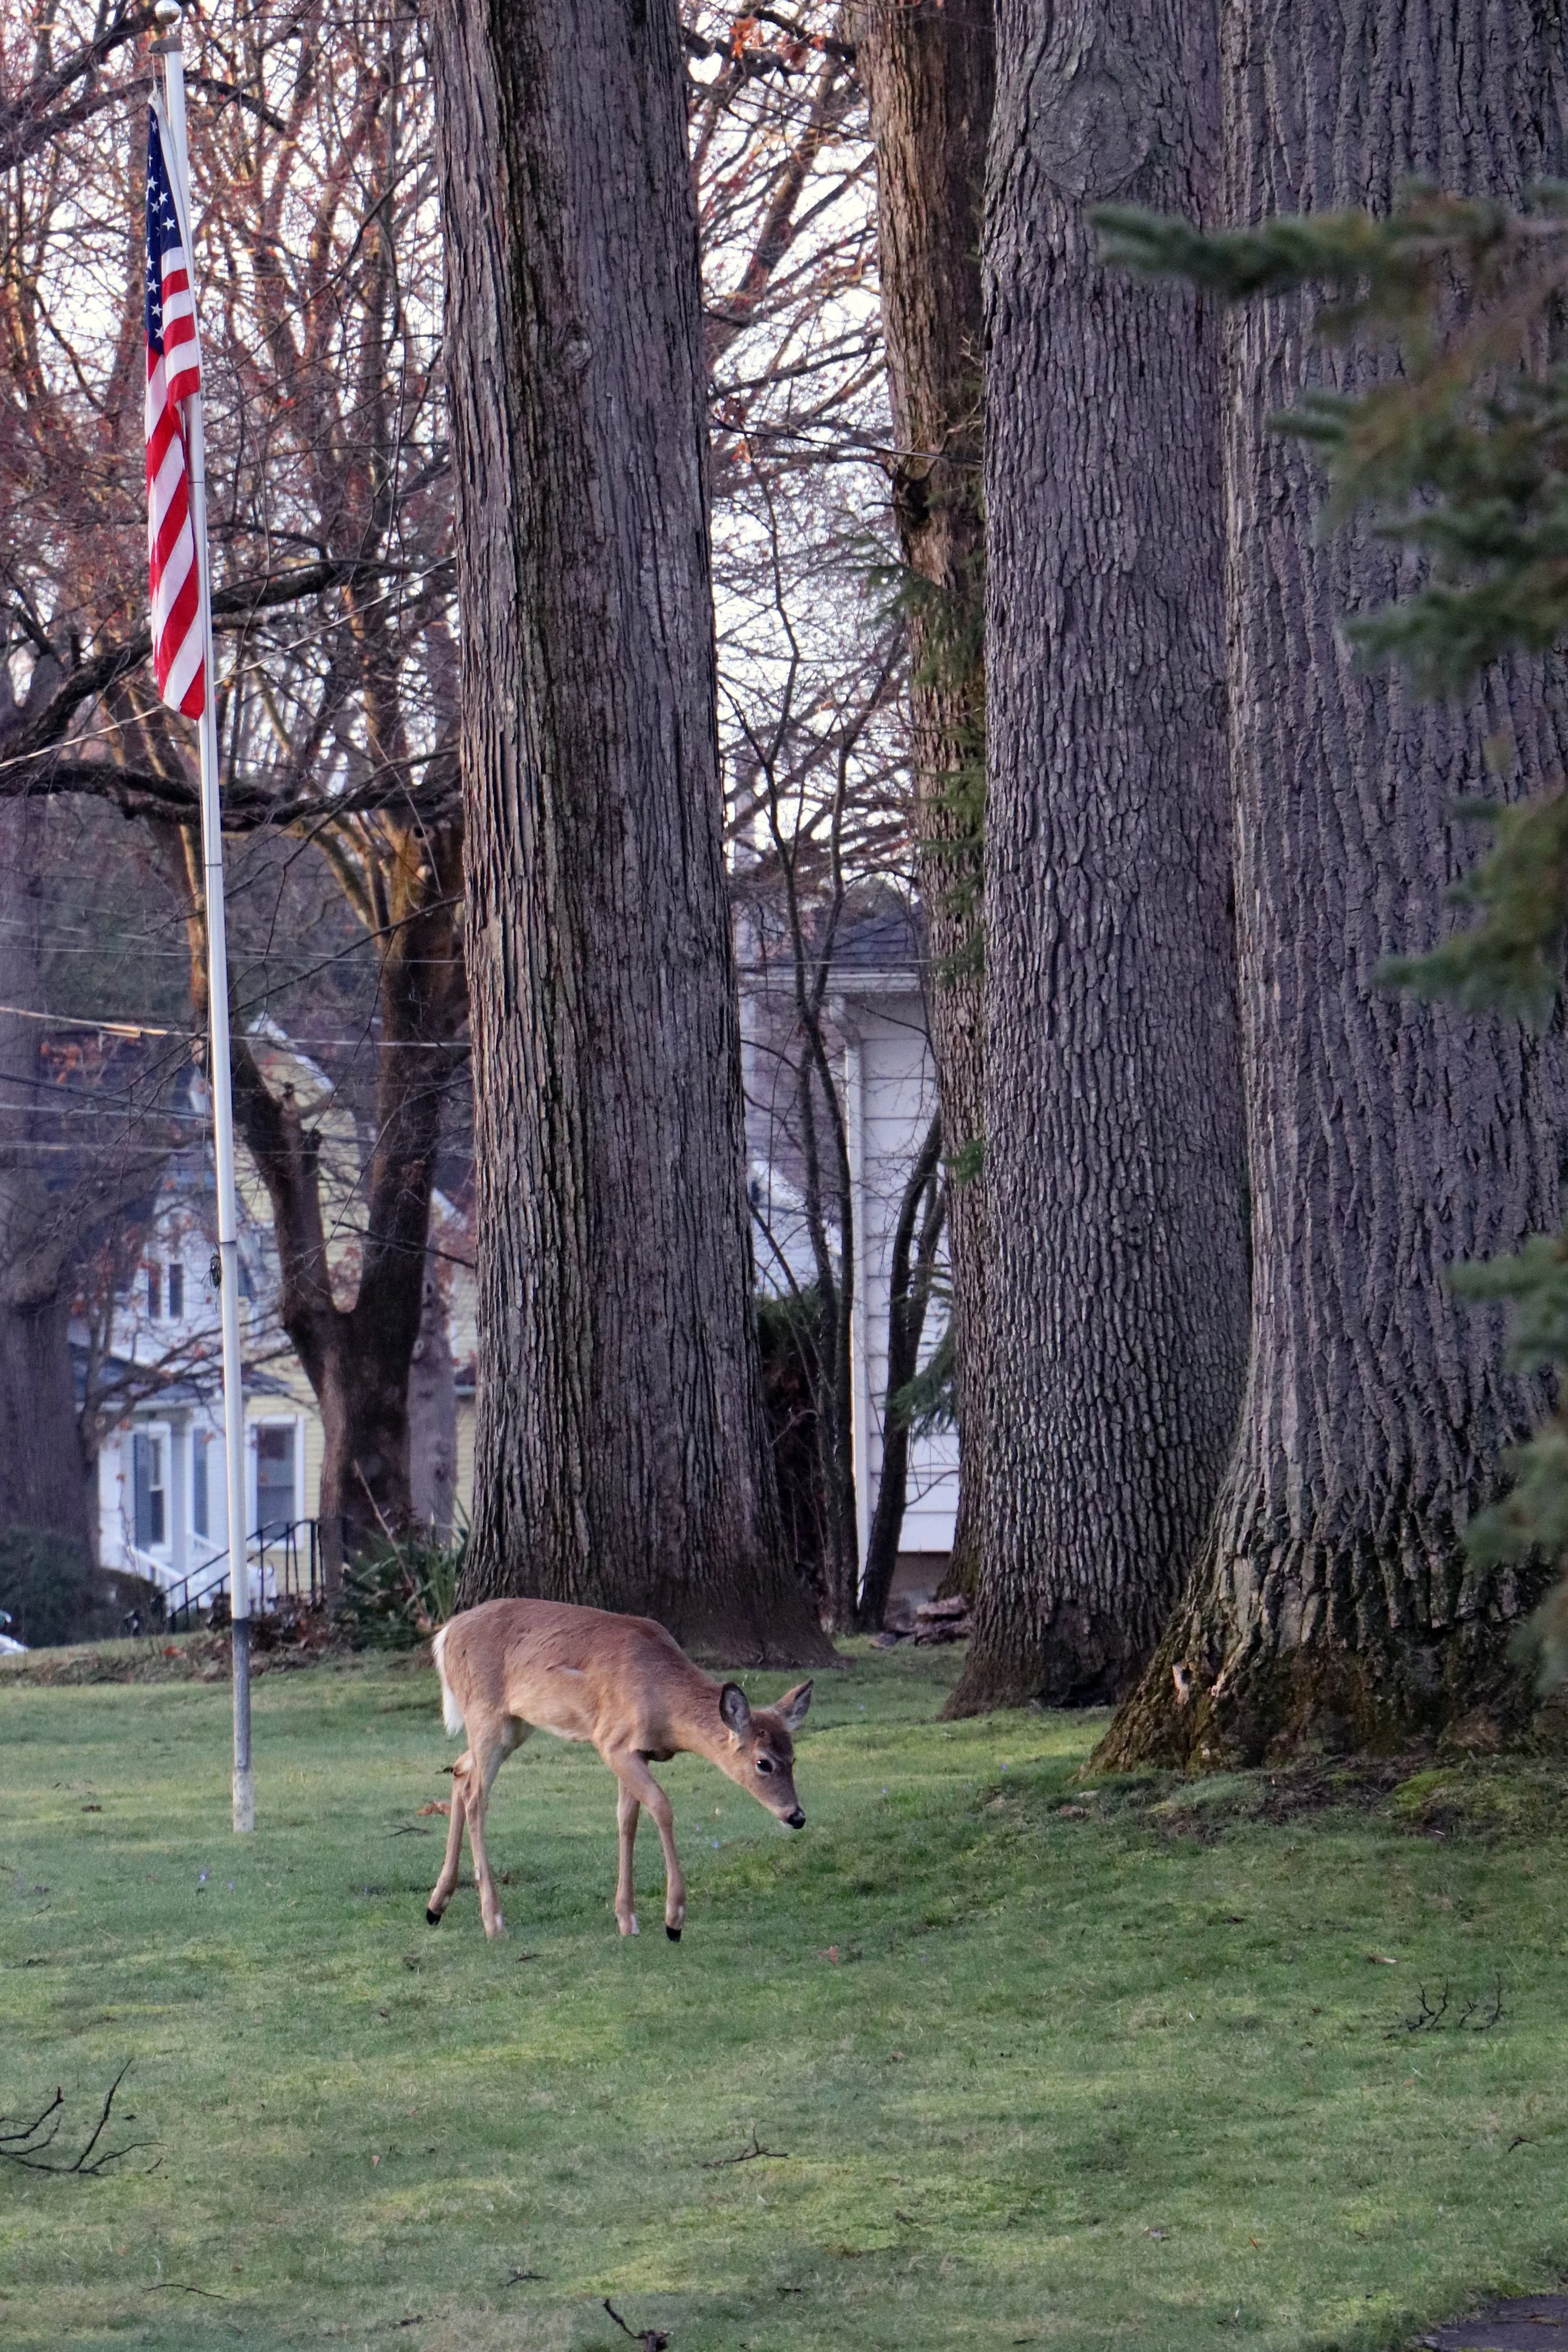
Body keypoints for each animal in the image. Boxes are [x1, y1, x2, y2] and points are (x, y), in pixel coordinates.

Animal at [424, 1597, 813, 1941]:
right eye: (763, 1762)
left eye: (794, 1758)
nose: (796, 1816)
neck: (664, 1701)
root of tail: (444, 1637)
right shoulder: (612, 1742)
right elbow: (661, 1807)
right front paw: (674, 1920)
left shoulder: (636, 1750)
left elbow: (627, 1819)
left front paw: (627, 1919)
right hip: (487, 1715)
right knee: (476, 1796)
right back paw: (494, 1922)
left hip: (514, 1726)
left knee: (460, 1771)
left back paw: (436, 1906)